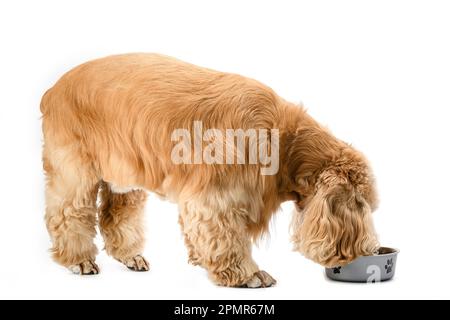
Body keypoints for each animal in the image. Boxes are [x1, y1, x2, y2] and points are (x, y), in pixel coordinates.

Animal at [41, 52, 380, 288]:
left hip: (124, 175)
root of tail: (54, 88)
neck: (285, 141)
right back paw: (78, 260)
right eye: (362, 204)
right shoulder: (217, 198)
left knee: (116, 214)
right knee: (67, 213)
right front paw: (248, 275)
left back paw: (129, 255)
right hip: (75, 170)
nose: (372, 248)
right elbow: (228, 239)